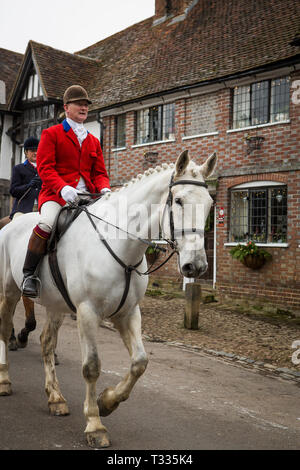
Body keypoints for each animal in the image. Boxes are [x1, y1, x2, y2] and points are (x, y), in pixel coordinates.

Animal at [0, 151, 217, 448]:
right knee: (5, 330)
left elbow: (140, 362)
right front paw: (95, 424)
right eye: (179, 200)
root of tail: (15, 220)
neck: (121, 246)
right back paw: (4, 381)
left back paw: (56, 398)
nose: (196, 266)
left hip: (56, 304)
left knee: (46, 342)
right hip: (9, 292)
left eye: (209, 204)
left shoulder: (128, 313)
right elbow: (91, 367)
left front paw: (107, 402)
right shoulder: (87, 312)